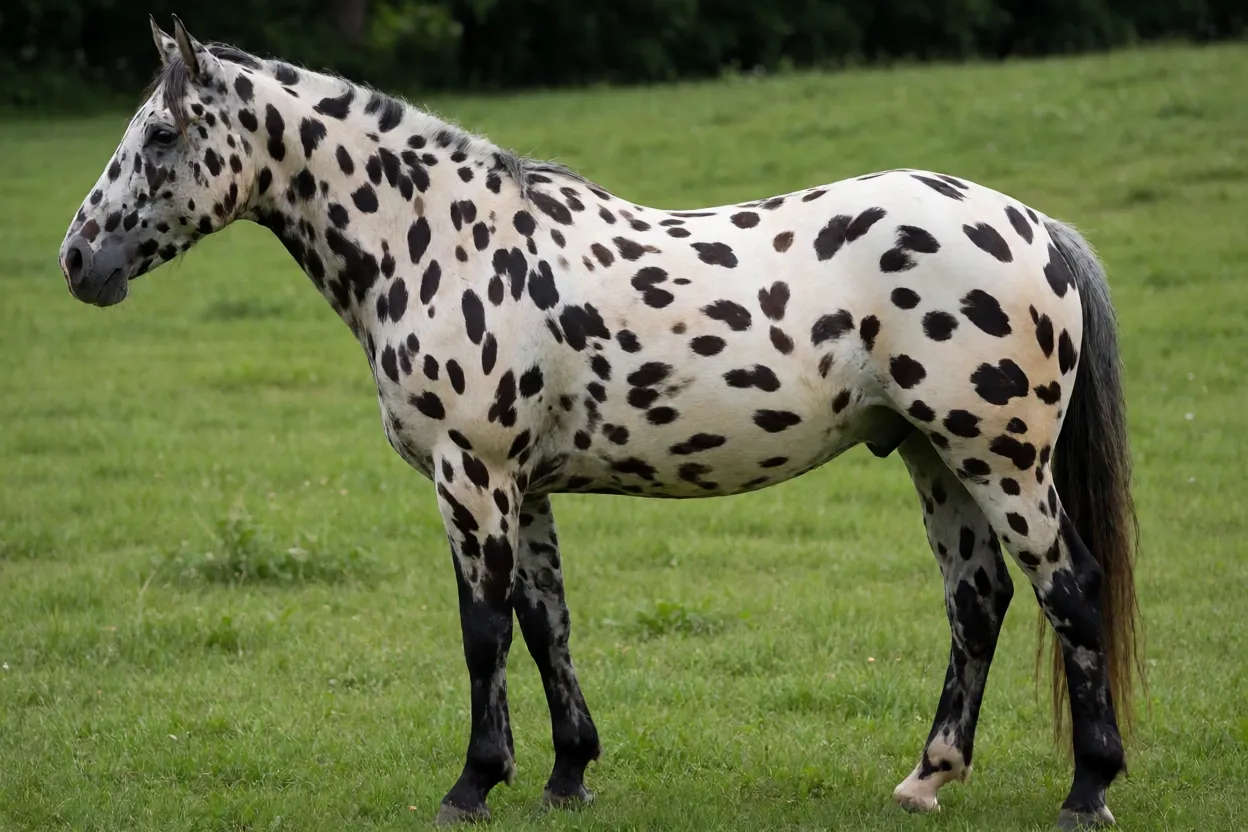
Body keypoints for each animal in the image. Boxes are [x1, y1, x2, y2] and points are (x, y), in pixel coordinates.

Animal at [58, 16, 1143, 829]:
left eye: (161, 136)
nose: (78, 261)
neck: (438, 241)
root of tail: (1036, 227)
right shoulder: (522, 486)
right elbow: (547, 626)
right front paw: (567, 774)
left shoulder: (471, 477)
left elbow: (483, 630)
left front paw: (471, 784)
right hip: (934, 457)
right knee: (978, 601)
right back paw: (928, 776)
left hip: (1000, 460)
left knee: (1070, 590)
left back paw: (1087, 790)